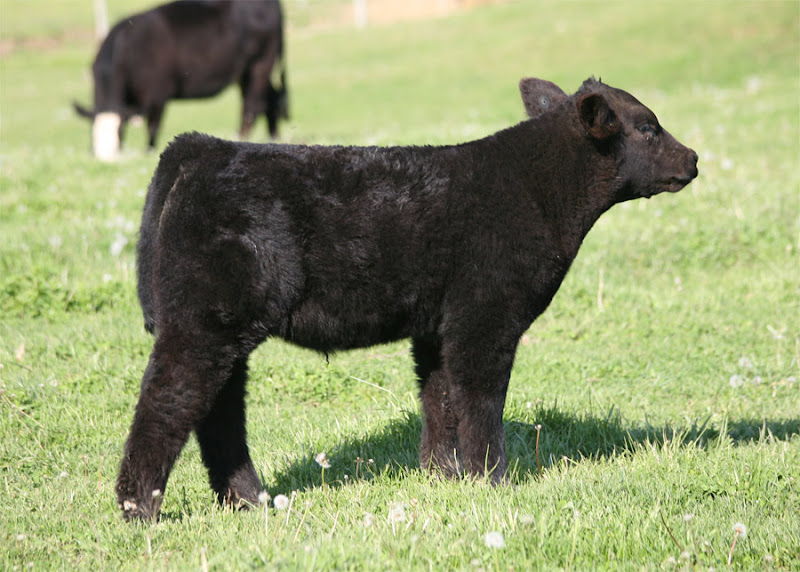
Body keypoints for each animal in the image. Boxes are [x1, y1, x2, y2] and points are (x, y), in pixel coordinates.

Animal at [74, 0, 288, 161]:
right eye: (92, 134)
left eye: (119, 133)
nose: (107, 159)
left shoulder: (156, 95)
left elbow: (152, 127)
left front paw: (149, 152)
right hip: (244, 72)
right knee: (269, 99)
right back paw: (274, 138)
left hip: (261, 63)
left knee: (252, 105)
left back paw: (242, 137)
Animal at [117, 77, 698, 520]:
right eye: (647, 126)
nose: (693, 157)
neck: (537, 193)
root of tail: (203, 146)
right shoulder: (485, 316)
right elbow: (480, 400)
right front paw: (493, 480)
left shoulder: (438, 325)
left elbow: (439, 397)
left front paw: (444, 476)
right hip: (205, 320)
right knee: (168, 401)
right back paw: (140, 509)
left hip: (225, 328)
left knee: (219, 412)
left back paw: (249, 501)